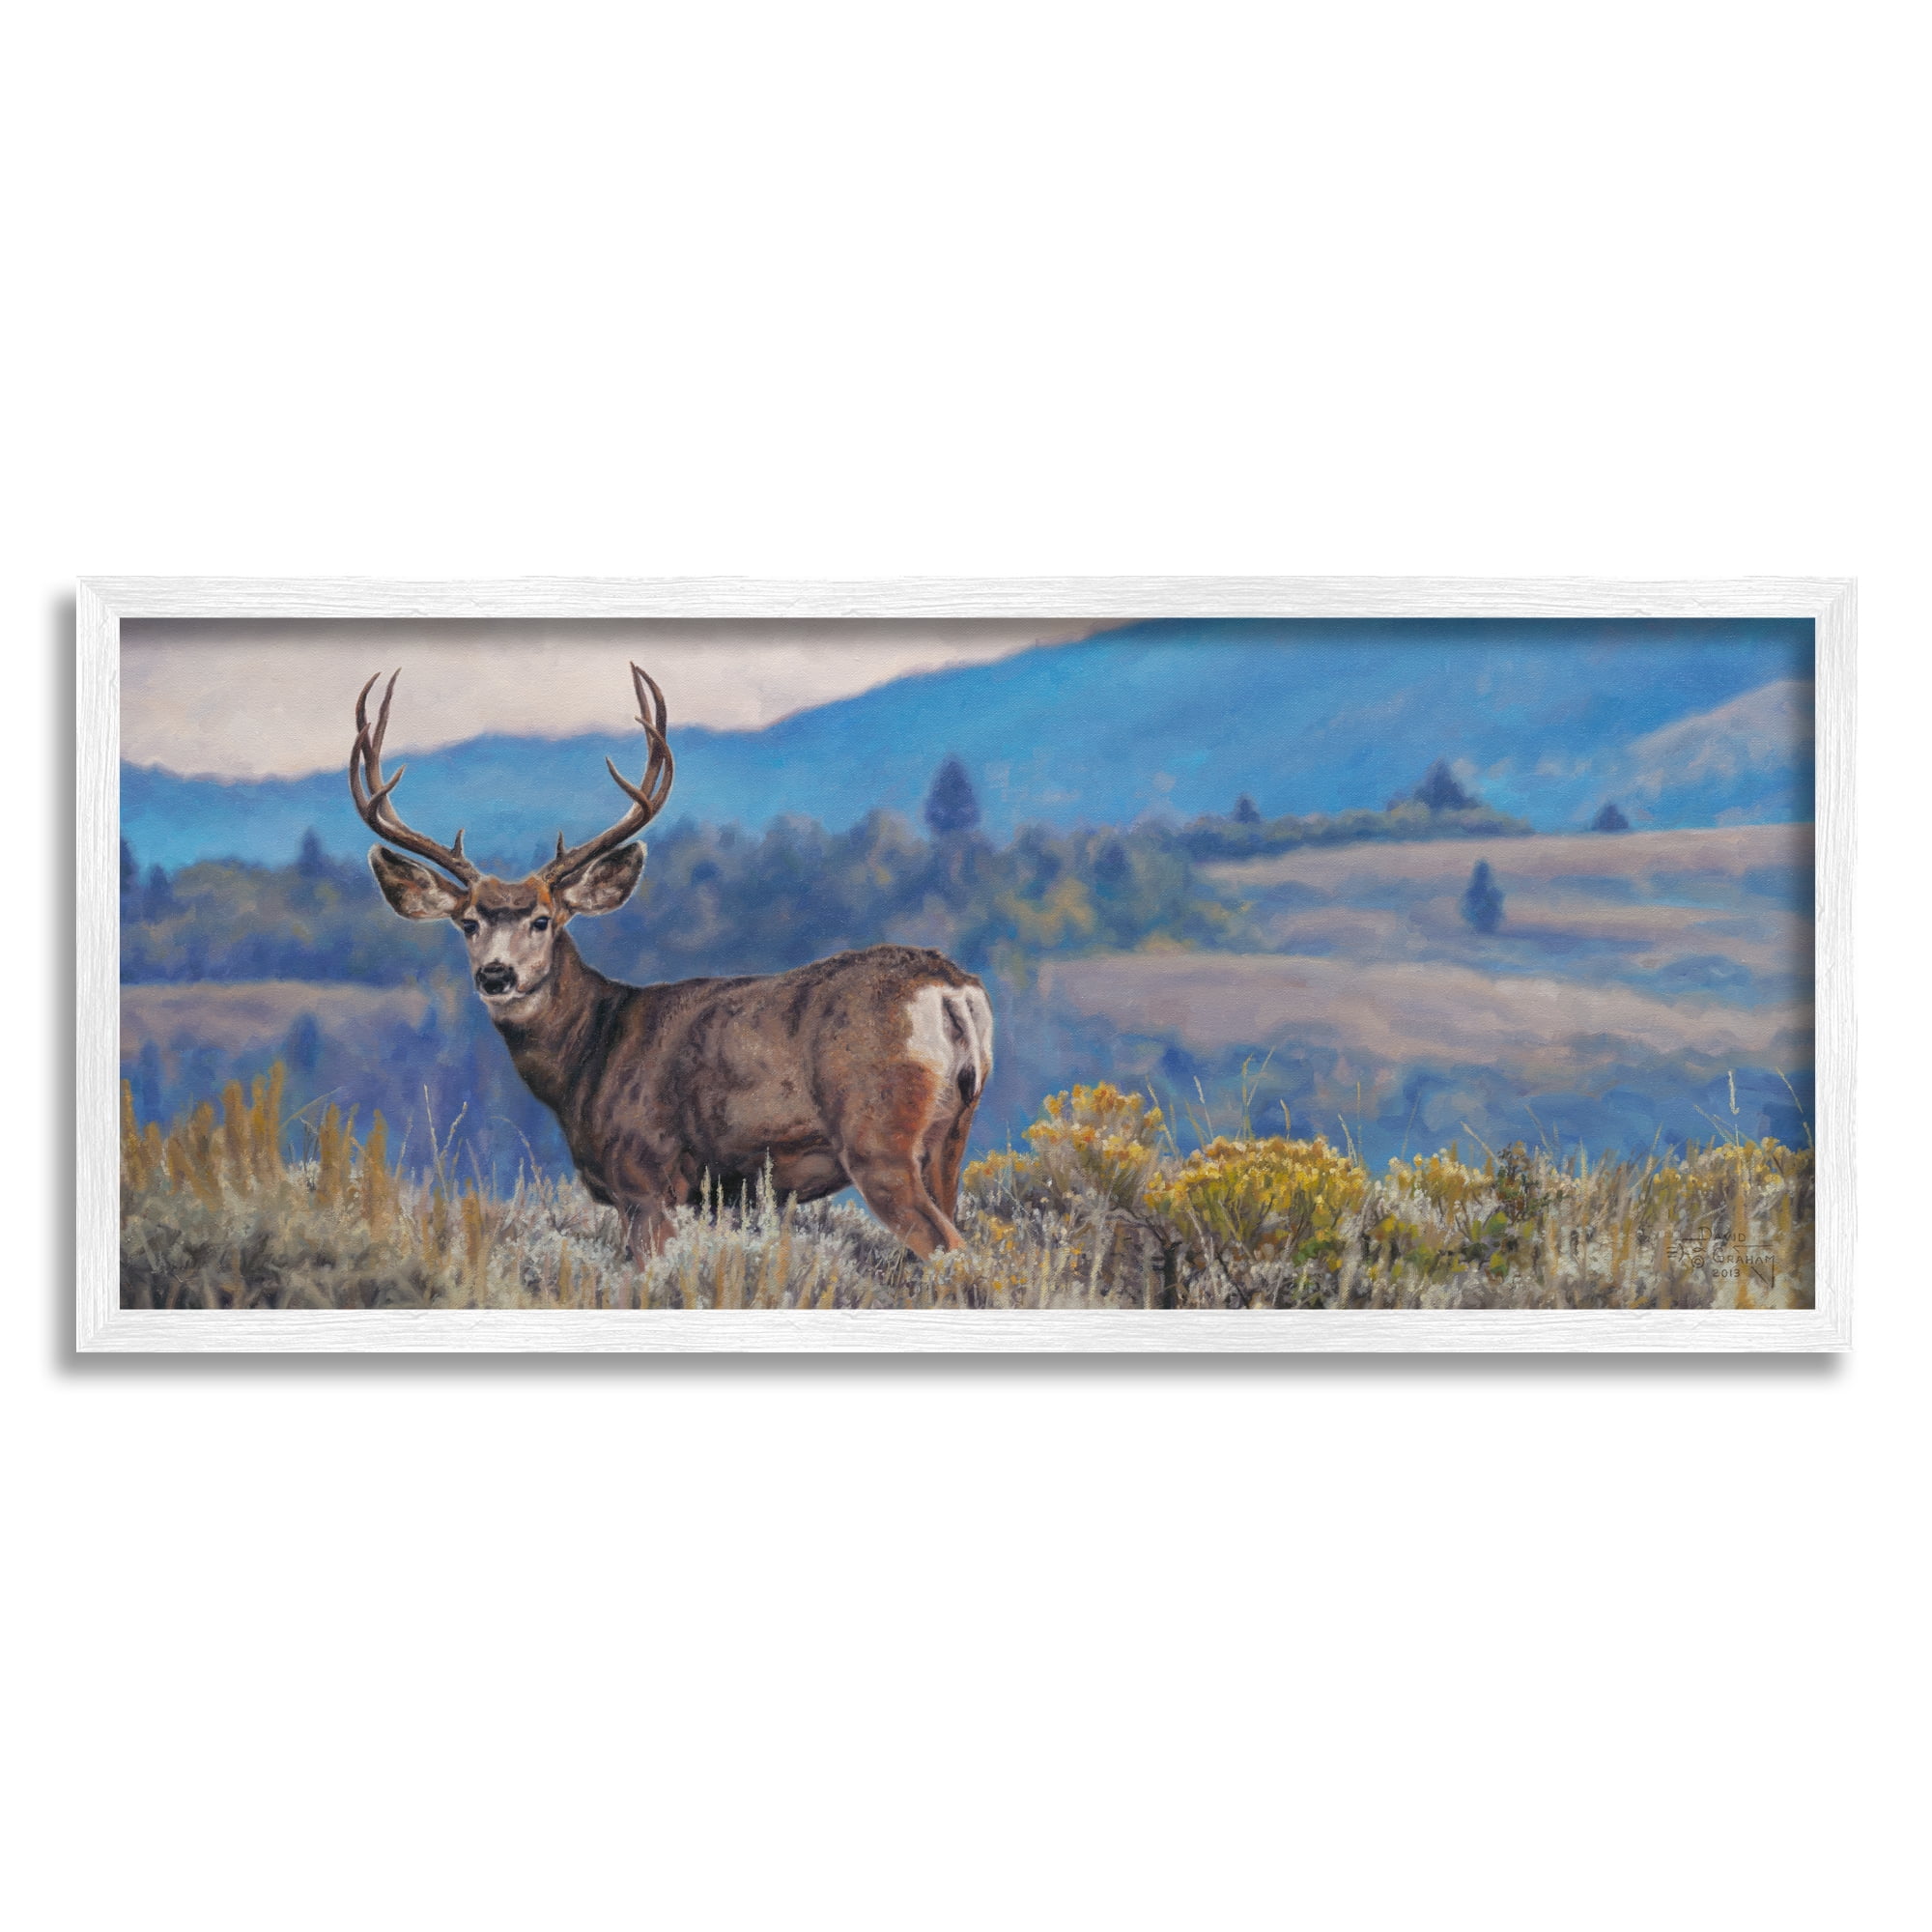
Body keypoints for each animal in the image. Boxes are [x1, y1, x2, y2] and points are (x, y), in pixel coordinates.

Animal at [349, 664, 994, 1268]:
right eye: (467, 923)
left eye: (544, 920)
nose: (496, 975)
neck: (589, 1055)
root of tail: (950, 989)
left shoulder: (644, 1176)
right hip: (952, 1136)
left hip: (877, 1134)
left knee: (953, 1251)